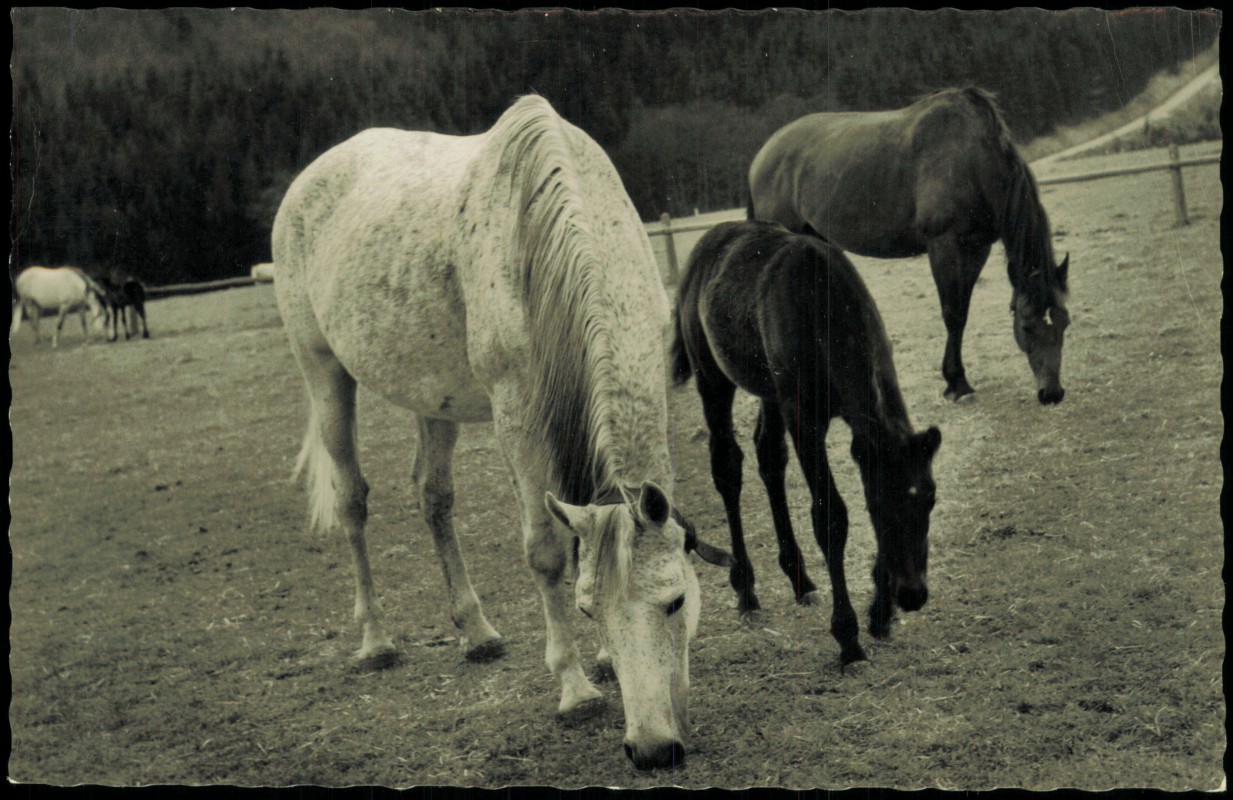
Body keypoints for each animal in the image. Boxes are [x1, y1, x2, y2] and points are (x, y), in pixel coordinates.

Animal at [272, 94, 732, 770]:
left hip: (430, 398)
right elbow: (545, 552)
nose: (651, 750)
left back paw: (477, 633)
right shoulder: (516, 417)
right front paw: (575, 687)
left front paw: (601, 661)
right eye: (589, 608)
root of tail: (307, 183)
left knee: (433, 498)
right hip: (324, 373)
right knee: (353, 501)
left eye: (675, 600)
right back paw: (377, 640)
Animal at [672, 220, 942, 668]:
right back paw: (746, 589)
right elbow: (829, 516)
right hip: (713, 380)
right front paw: (848, 638)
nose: (913, 594)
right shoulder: (804, 419)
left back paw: (800, 579)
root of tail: (706, 245)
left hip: (770, 392)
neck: (822, 307)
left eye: (931, 501)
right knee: (727, 466)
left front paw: (879, 614)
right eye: (878, 507)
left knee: (768, 456)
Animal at [747, 87, 1070, 405]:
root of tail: (761, 156)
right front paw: (956, 383)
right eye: (1027, 326)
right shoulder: (943, 245)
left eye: (1065, 323)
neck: (971, 159)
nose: (1052, 393)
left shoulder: (977, 248)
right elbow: (952, 313)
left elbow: (963, 312)